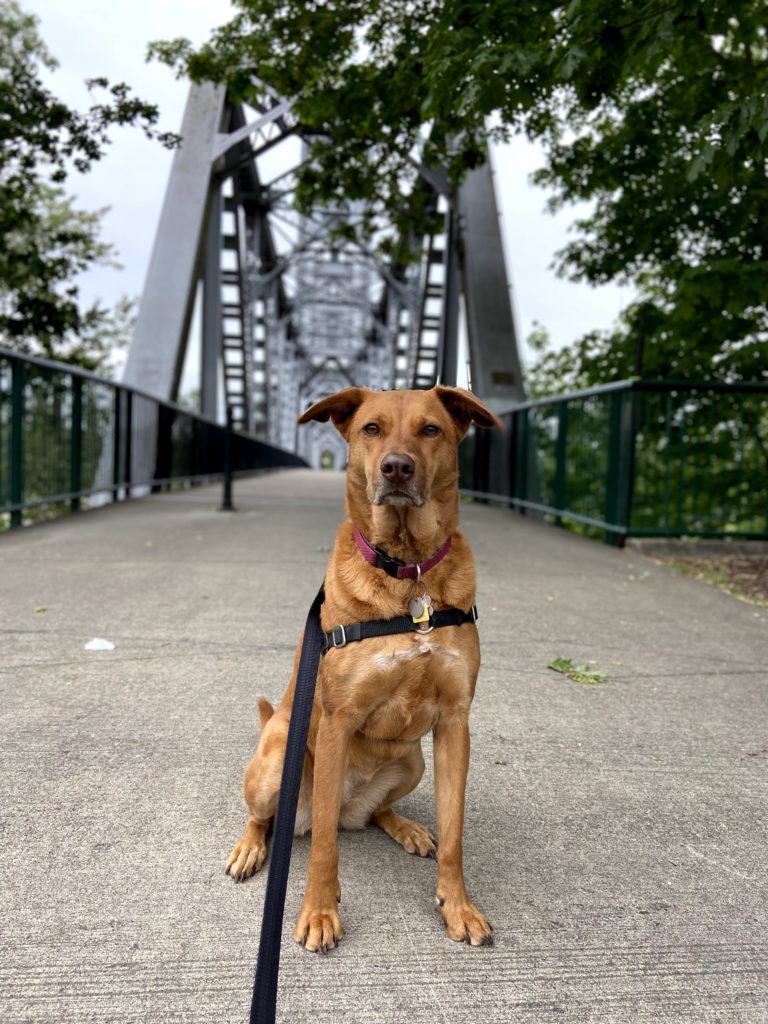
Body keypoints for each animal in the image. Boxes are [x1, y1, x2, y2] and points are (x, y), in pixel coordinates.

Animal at [227, 385, 505, 950]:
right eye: (371, 429)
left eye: (430, 429)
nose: (396, 467)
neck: (408, 571)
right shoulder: (337, 721)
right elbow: (324, 850)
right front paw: (318, 911)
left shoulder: (455, 724)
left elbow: (455, 836)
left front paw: (457, 905)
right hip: (277, 759)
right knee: (276, 820)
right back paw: (251, 846)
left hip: (413, 762)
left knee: (373, 812)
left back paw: (405, 827)